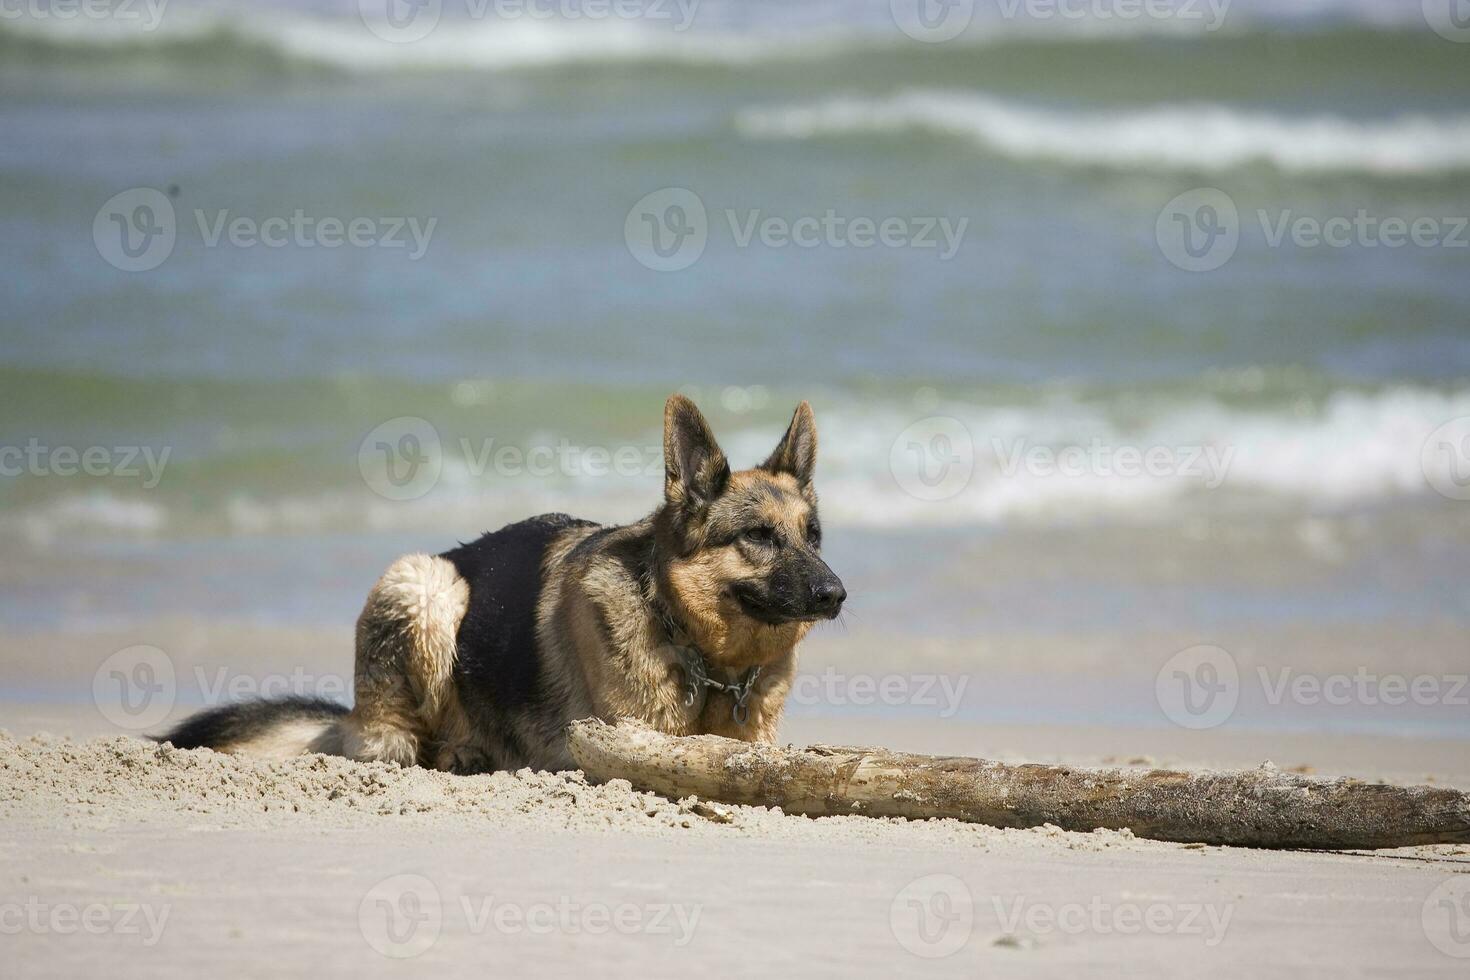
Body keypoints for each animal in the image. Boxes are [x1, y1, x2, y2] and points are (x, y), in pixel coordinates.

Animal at [160, 396, 846, 775]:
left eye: (813, 536)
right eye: (758, 536)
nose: (836, 596)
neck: (702, 655)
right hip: (428, 585)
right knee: (403, 742)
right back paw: (458, 753)